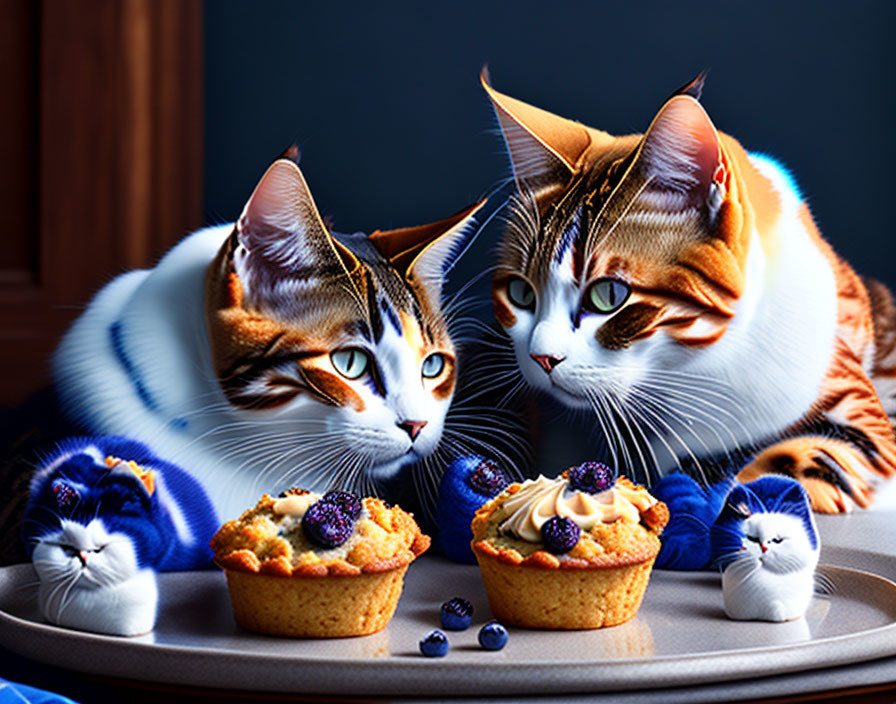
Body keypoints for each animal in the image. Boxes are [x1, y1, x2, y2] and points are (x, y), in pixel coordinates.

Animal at [484, 73, 896, 512]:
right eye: (521, 293)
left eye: (608, 295)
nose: (541, 358)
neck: (684, 374)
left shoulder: (862, 420)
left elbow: (784, 461)